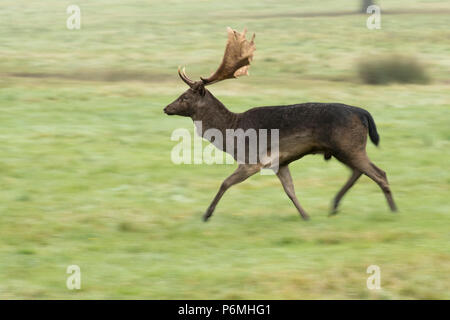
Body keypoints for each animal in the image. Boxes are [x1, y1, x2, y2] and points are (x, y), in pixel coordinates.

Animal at [163, 27, 396, 221]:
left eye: (184, 97)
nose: (166, 108)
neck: (231, 131)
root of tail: (363, 113)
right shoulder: (280, 162)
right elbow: (290, 190)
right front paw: (305, 215)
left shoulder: (252, 159)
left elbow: (225, 183)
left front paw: (206, 214)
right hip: (343, 149)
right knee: (359, 172)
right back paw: (335, 205)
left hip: (349, 145)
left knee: (379, 173)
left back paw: (393, 210)